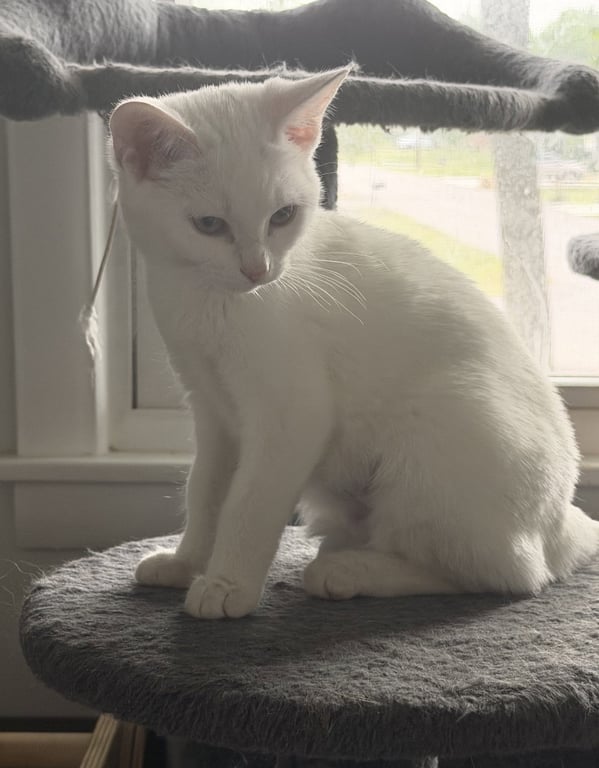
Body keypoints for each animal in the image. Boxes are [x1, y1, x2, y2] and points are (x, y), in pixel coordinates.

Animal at [109, 67, 599, 619]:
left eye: (283, 216)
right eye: (209, 225)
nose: (258, 270)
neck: (205, 303)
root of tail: (563, 521)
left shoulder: (290, 418)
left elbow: (249, 502)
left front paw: (227, 583)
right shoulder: (213, 409)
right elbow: (205, 492)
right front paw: (186, 561)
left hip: (439, 424)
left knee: (503, 573)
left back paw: (349, 571)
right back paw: (343, 548)